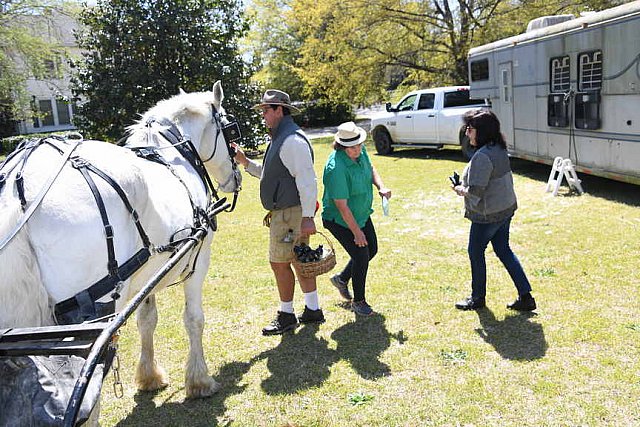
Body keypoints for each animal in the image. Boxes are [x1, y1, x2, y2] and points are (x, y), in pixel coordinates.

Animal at [0, 82, 240, 400]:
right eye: (231, 129)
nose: (236, 177)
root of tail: (19, 184)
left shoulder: (149, 271)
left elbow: (147, 320)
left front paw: (150, 375)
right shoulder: (198, 261)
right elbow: (193, 319)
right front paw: (200, 381)